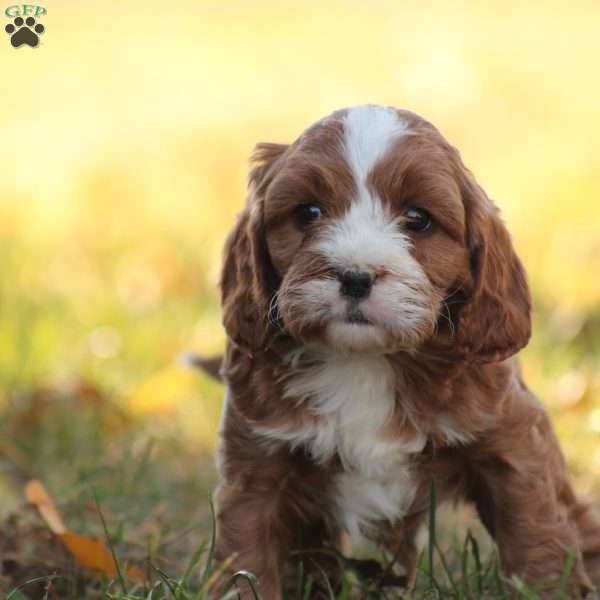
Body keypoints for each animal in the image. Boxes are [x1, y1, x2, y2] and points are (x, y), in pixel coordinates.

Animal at [207, 105, 600, 596]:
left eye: (418, 218)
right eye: (308, 212)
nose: (355, 275)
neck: (366, 361)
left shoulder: (510, 438)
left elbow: (536, 534)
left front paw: (549, 588)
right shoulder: (255, 459)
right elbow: (246, 555)